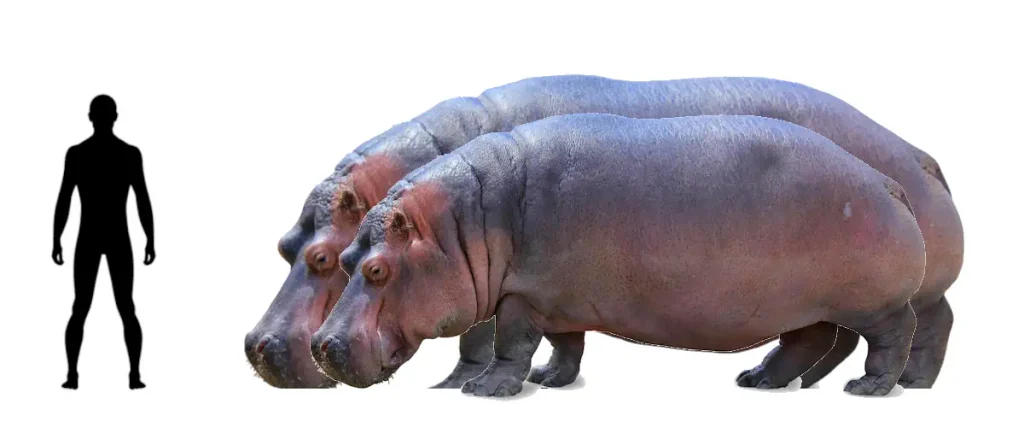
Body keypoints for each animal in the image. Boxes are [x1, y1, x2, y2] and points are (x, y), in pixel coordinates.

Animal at [246, 75, 962, 389]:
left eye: (326, 258)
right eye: (285, 247)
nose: (258, 347)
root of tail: (918, 160)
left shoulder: (505, 282)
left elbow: (485, 334)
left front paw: (462, 384)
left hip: (877, 288)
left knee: (905, 324)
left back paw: (886, 384)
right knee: (840, 333)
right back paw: (784, 380)